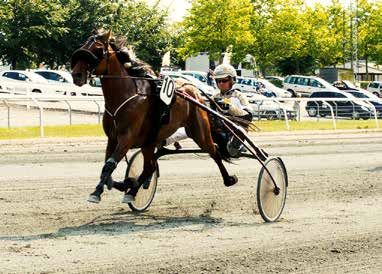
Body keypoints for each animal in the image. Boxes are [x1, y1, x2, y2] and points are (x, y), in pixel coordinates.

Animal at [69, 29, 236, 203]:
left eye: (98, 49)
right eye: (83, 45)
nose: (76, 75)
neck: (125, 95)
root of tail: (194, 92)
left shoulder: (126, 138)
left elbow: (109, 165)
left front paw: (97, 192)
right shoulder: (113, 138)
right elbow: (107, 166)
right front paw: (118, 184)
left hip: (199, 132)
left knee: (214, 151)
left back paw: (229, 179)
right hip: (149, 141)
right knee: (150, 166)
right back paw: (131, 191)